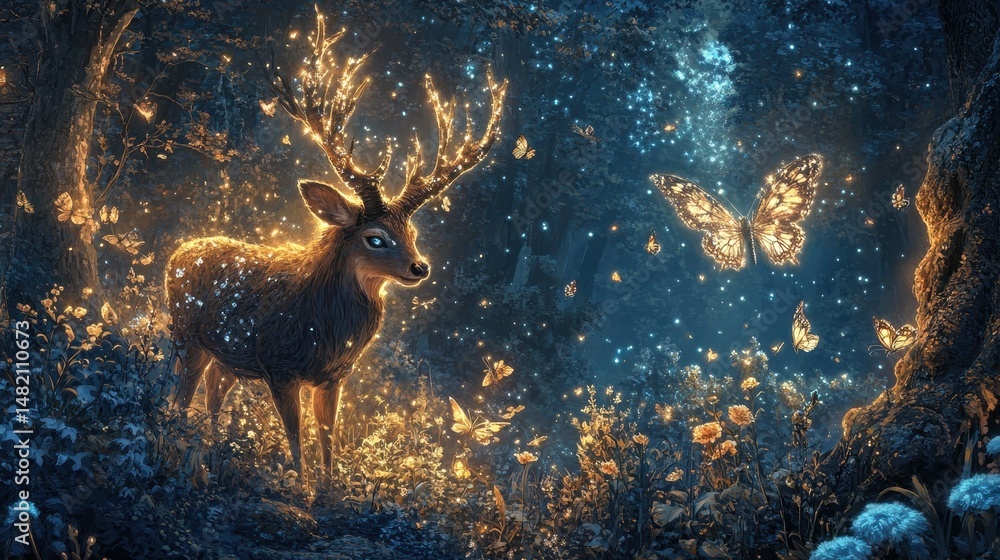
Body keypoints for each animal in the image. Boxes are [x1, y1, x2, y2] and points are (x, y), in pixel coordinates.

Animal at [165, 11, 507, 473]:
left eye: (412, 233)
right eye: (375, 238)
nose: (420, 267)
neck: (325, 329)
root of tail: (176, 252)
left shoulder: (333, 378)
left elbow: (327, 443)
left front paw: (328, 485)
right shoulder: (278, 366)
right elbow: (297, 445)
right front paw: (300, 484)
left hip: (228, 355)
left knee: (213, 392)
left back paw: (212, 450)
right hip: (187, 334)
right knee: (180, 397)